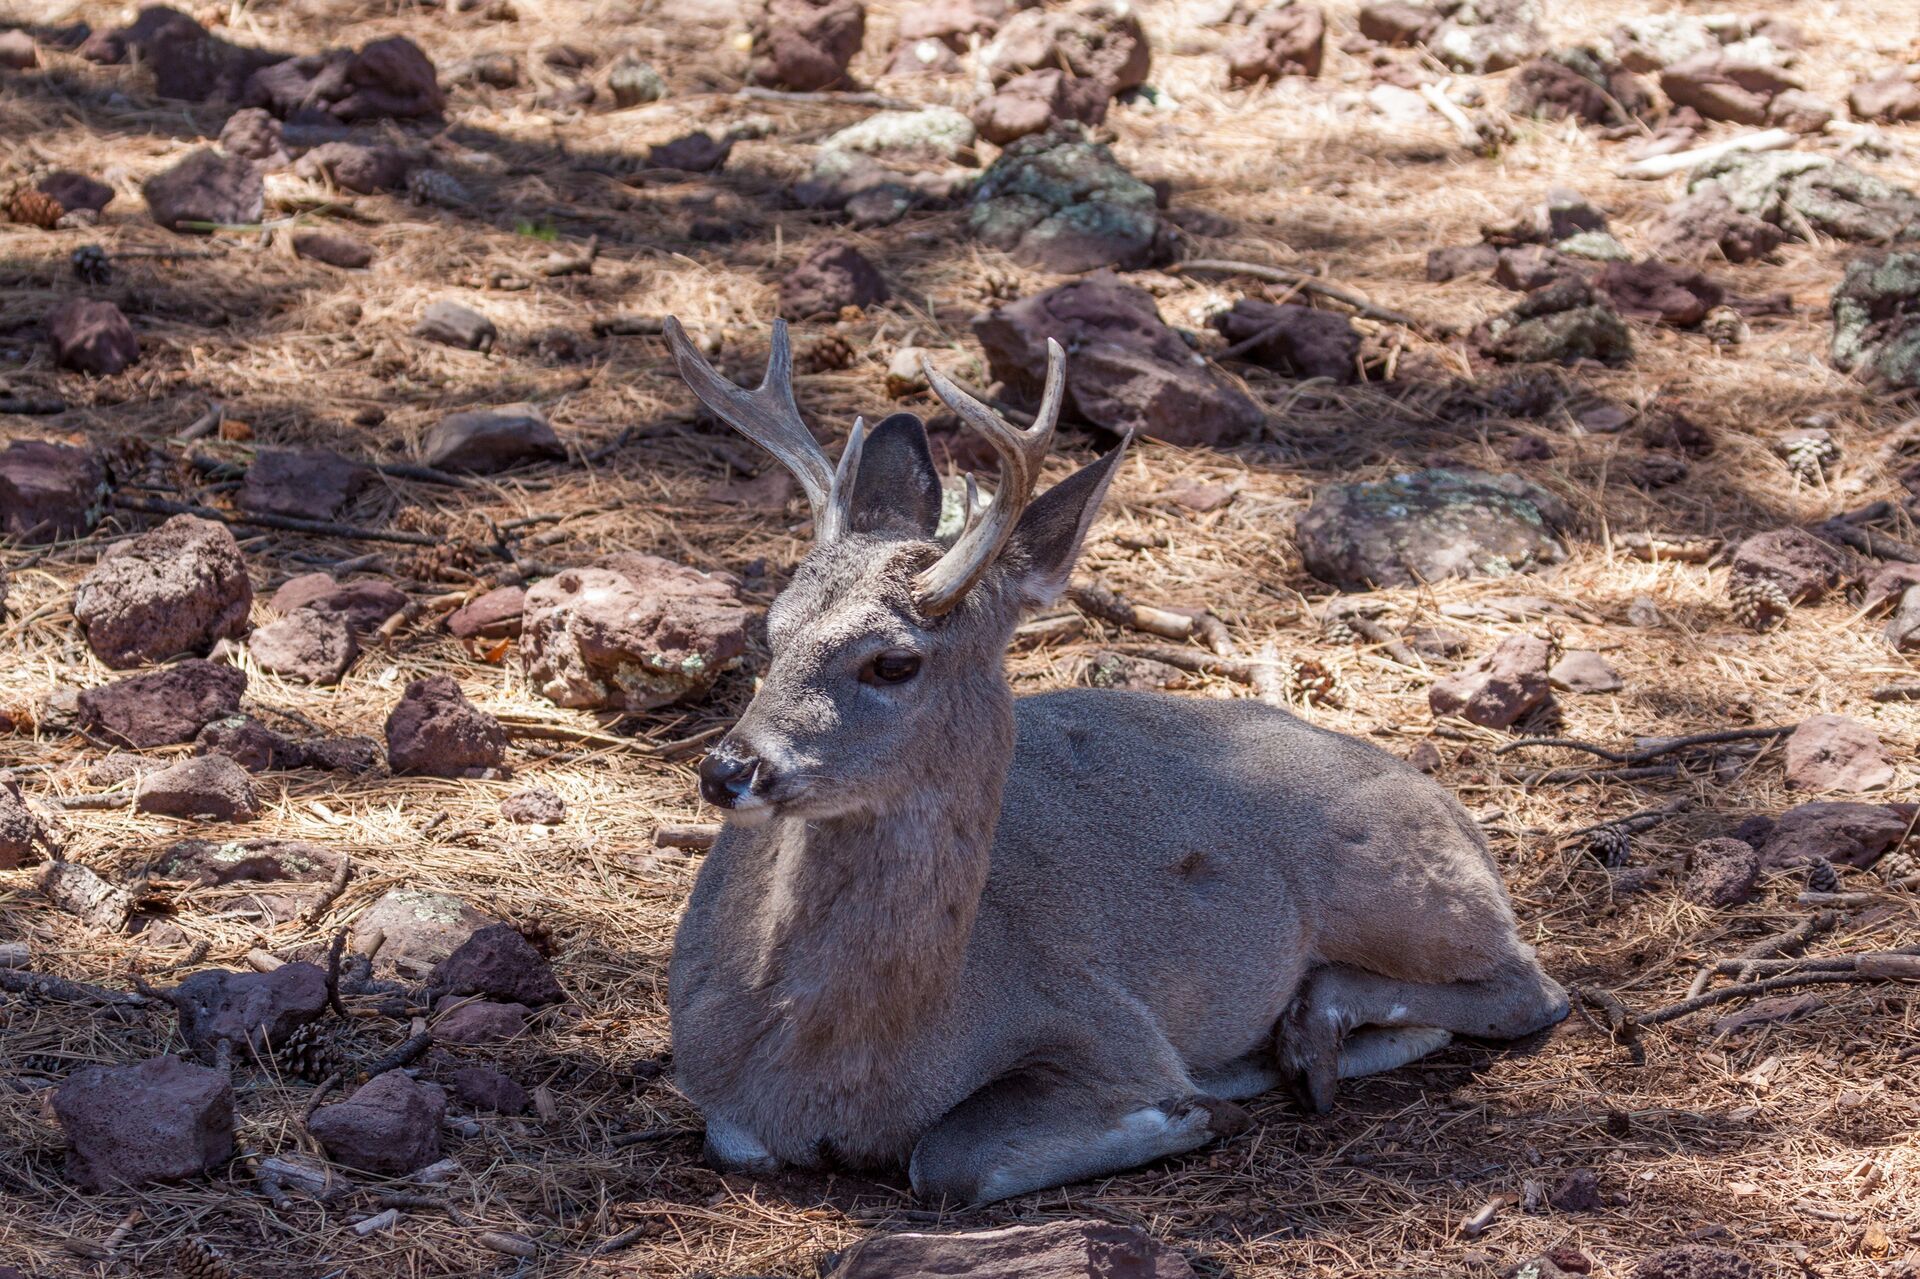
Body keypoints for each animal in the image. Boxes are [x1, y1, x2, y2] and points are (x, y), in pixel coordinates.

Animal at [662, 316, 1570, 1205]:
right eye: (770, 629)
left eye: (894, 661)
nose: (727, 768)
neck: (840, 1063)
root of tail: (1458, 813)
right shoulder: (716, 1093)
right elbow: (741, 1142)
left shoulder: (1106, 1023)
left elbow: (947, 1160)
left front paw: (1192, 1113)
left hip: (1401, 887)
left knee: (1534, 988)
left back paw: (1302, 1039)